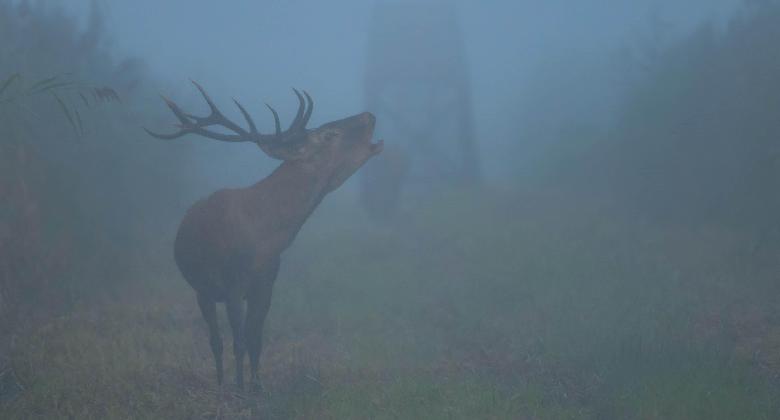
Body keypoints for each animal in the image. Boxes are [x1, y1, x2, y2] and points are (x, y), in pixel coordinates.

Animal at [147, 82, 384, 390]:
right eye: (329, 134)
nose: (369, 116)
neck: (266, 236)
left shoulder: (266, 284)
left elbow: (255, 340)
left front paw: (257, 386)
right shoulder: (233, 283)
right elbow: (238, 342)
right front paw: (239, 388)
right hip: (202, 289)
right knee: (215, 341)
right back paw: (221, 383)